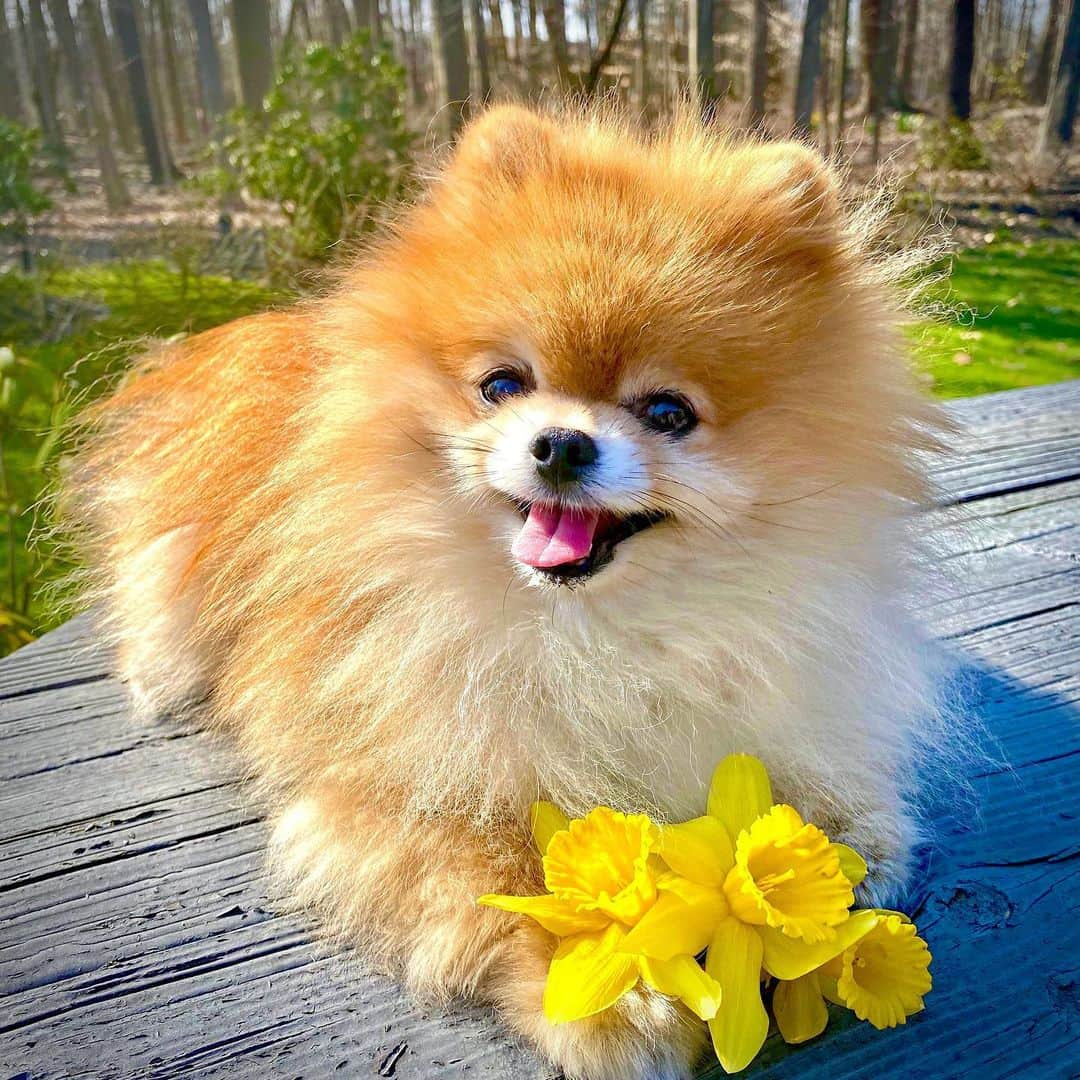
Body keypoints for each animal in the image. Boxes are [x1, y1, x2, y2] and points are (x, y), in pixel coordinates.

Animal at [67, 103, 946, 1080]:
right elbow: (499, 874)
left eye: (668, 413)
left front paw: (827, 851)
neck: (590, 633)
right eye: (502, 385)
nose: (560, 442)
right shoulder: (393, 781)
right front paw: (607, 997)